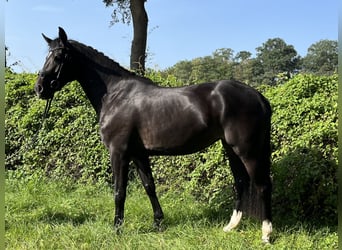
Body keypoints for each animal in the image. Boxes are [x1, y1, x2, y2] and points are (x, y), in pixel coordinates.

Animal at [35, 26, 272, 242]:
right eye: (46, 55)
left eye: (58, 57)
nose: (39, 88)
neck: (115, 94)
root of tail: (258, 96)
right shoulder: (139, 154)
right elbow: (150, 187)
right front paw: (158, 222)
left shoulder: (119, 153)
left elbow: (119, 192)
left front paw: (117, 230)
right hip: (230, 148)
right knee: (240, 182)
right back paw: (231, 226)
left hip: (247, 150)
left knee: (262, 185)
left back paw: (266, 234)